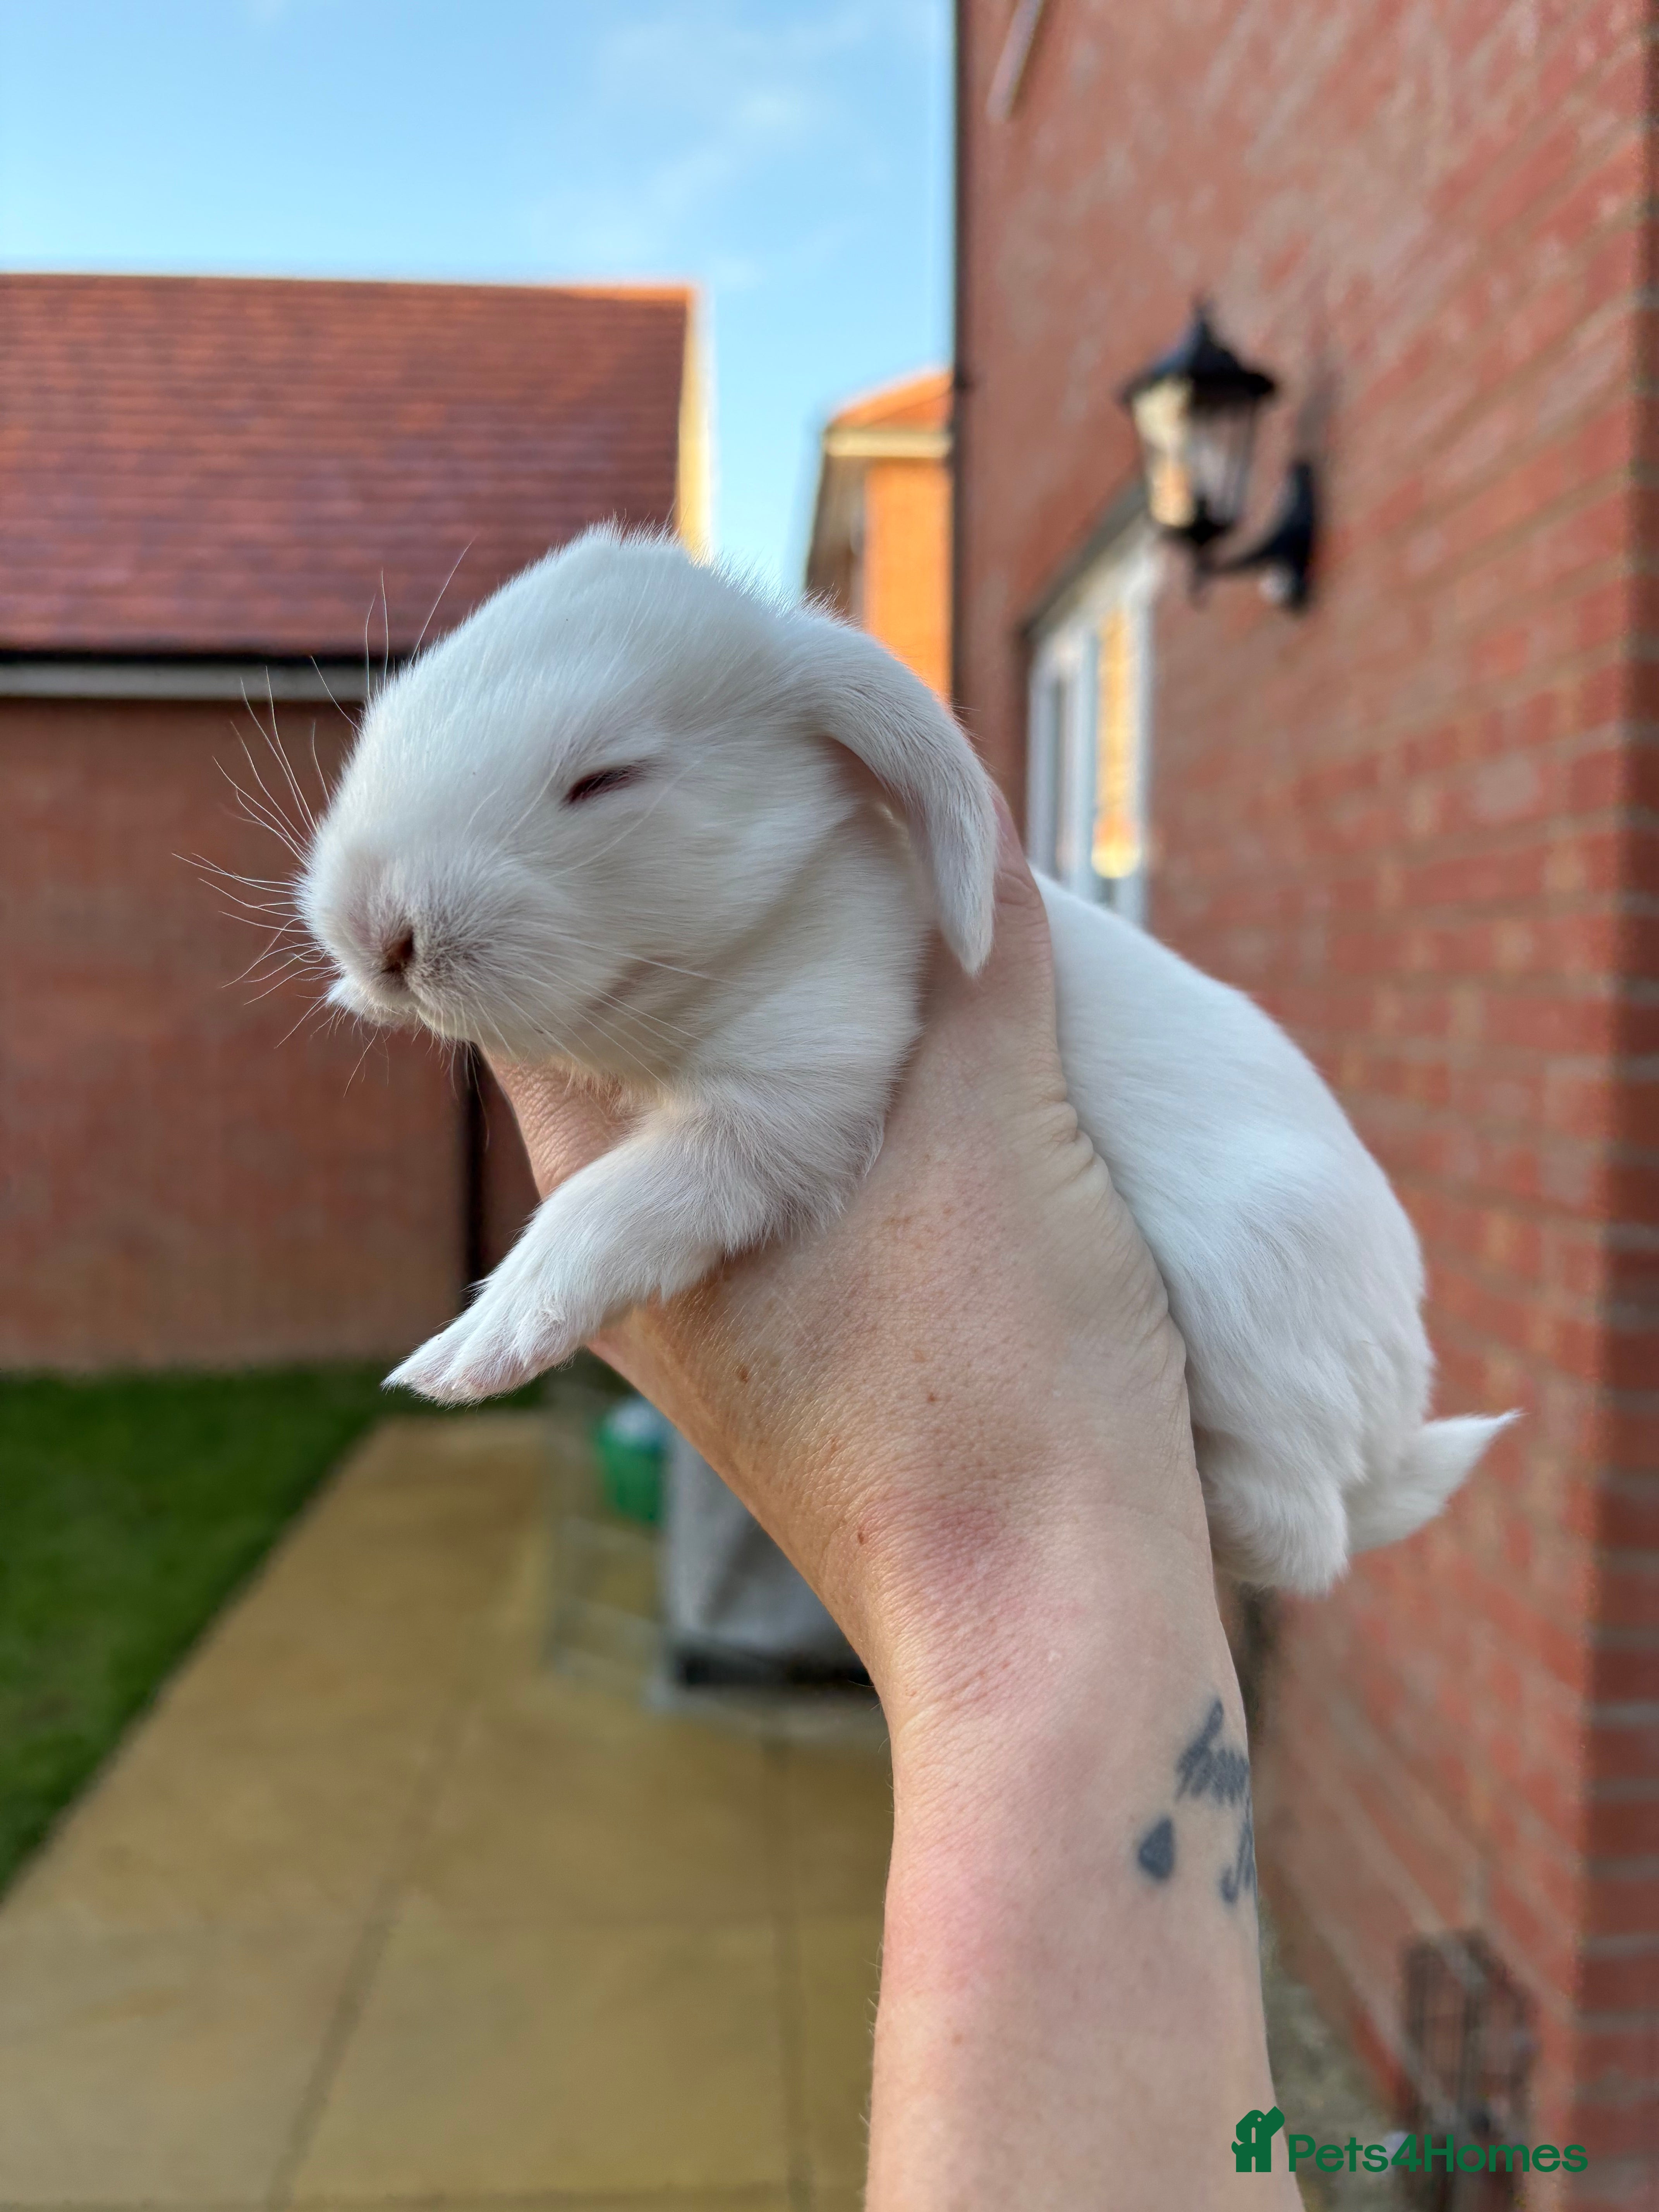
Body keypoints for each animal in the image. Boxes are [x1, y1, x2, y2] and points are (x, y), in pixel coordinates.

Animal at [299, 525, 1511, 1592]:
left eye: (607, 777)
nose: (376, 936)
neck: (760, 925)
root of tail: (1395, 1416)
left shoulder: (797, 1087)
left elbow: (610, 1211)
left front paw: (468, 1353)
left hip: (1255, 1293)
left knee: (1305, 1538)